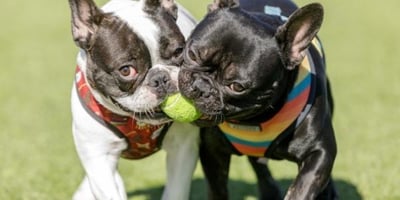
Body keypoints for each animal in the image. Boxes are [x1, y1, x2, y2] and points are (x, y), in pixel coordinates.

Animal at [69, 0, 202, 199]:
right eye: (126, 70)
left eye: (179, 52)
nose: (160, 78)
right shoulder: (99, 157)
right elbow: (110, 192)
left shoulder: (183, 148)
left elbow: (176, 190)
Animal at [179, 0, 338, 198]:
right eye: (192, 55)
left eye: (237, 87)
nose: (201, 86)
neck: (255, 119)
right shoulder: (213, 152)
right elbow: (218, 189)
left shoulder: (320, 152)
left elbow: (302, 188)